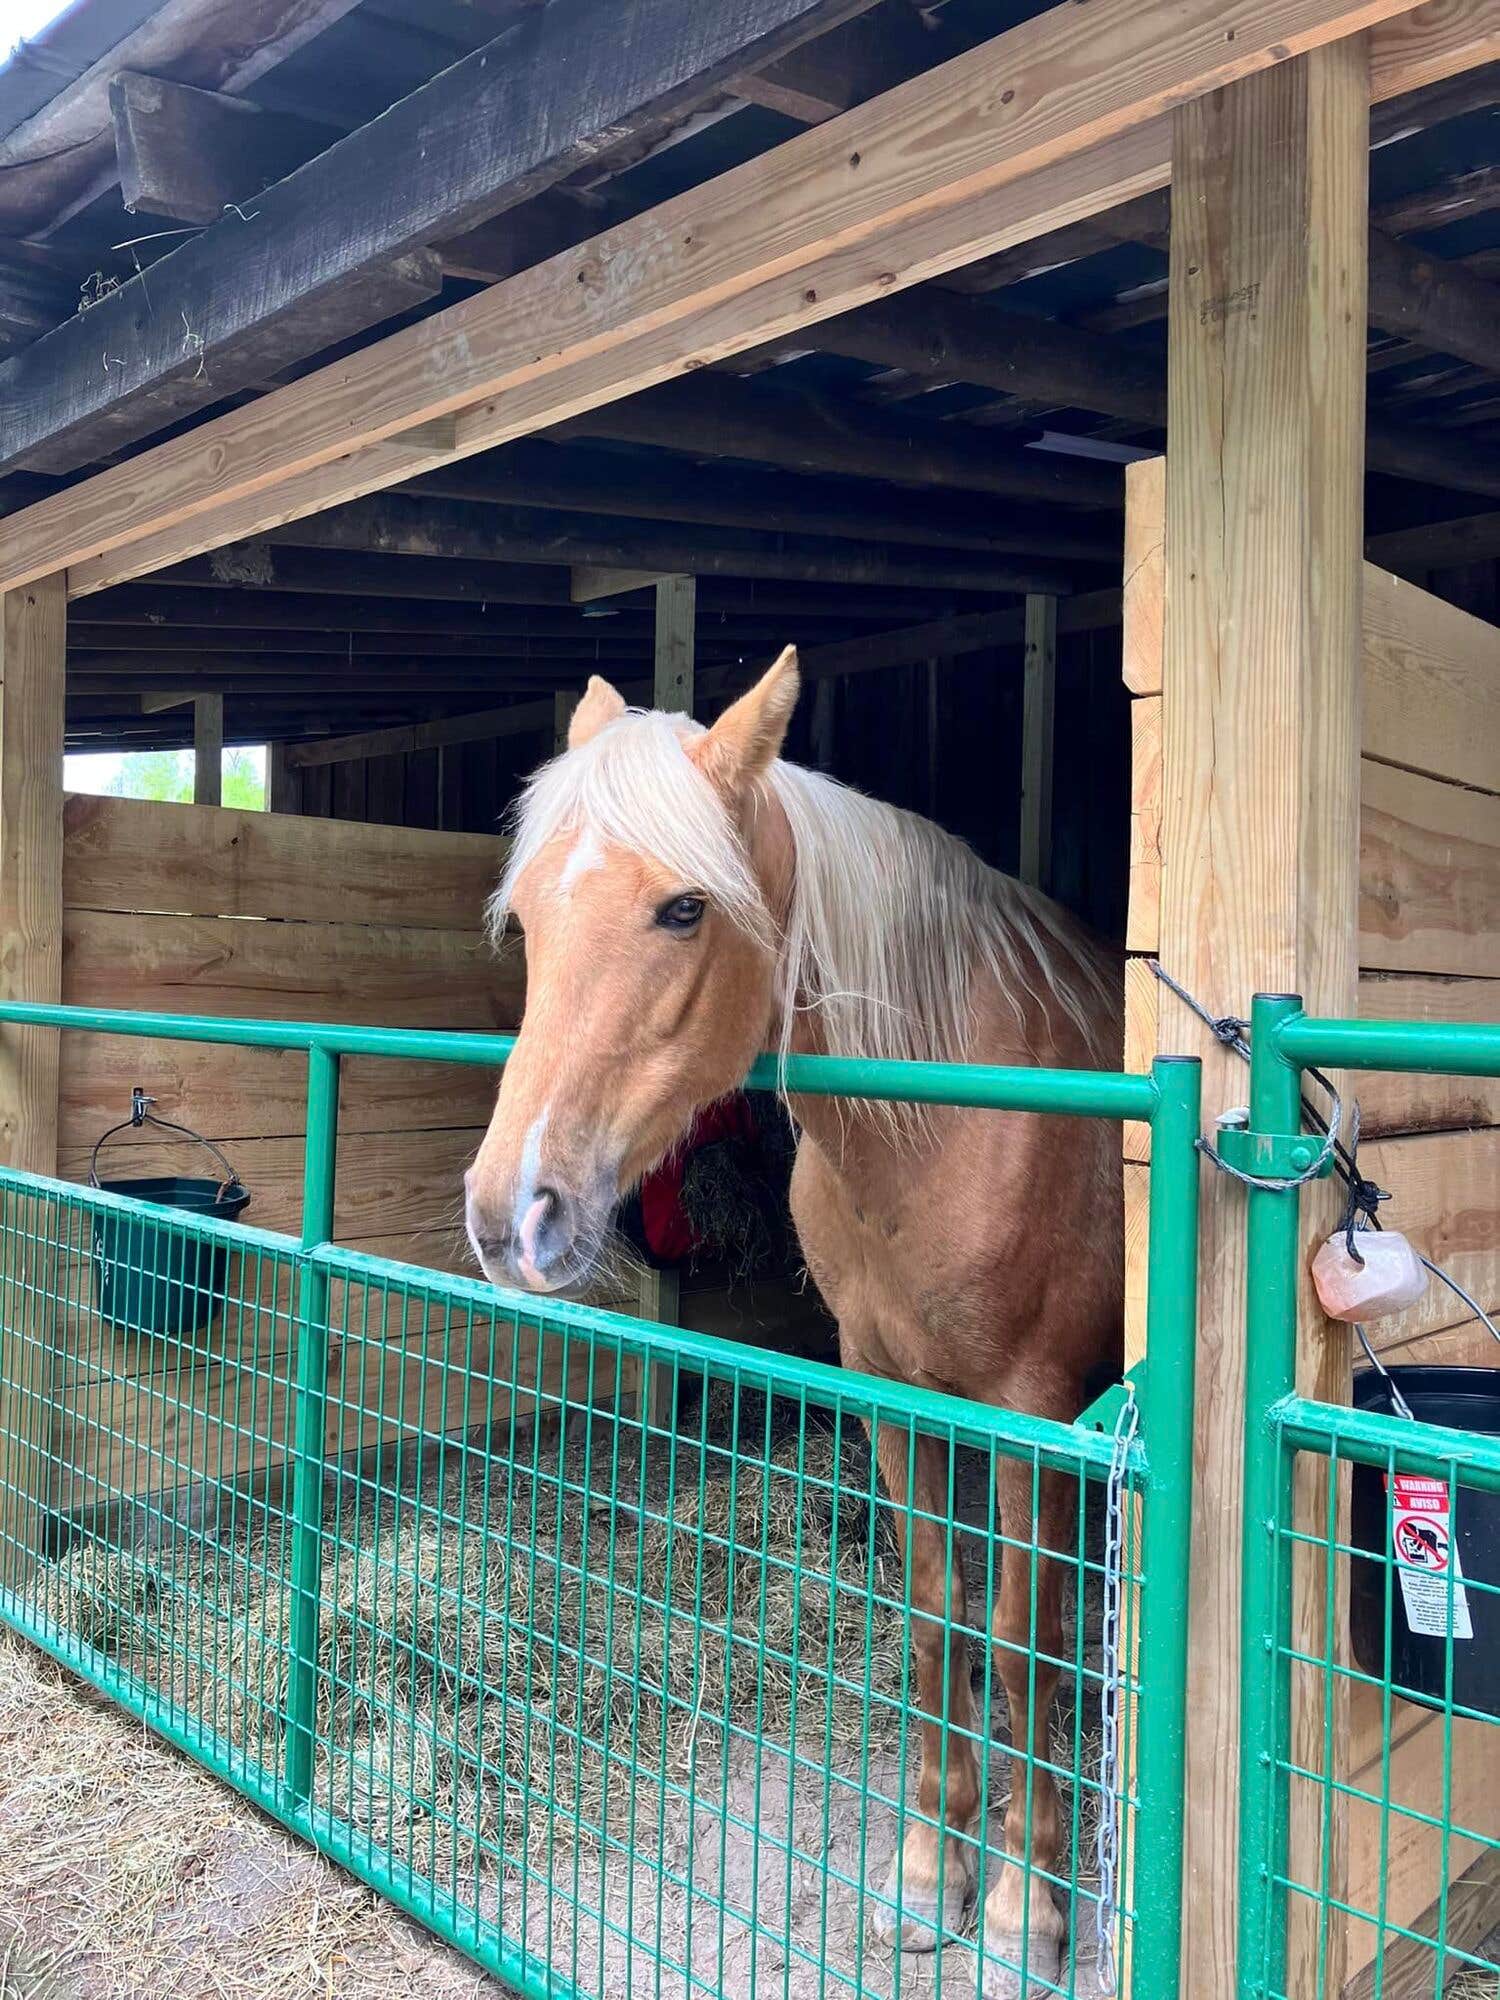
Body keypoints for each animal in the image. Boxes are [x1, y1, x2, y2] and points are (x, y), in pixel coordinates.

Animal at [464, 647, 1123, 1996]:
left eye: (683, 909)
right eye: (532, 919)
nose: (512, 1214)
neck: (946, 1119)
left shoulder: (1032, 1411)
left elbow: (1019, 1640)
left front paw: (1024, 1910)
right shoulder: (888, 1391)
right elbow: (936, 1613)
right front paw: (927, 1875)